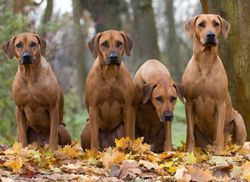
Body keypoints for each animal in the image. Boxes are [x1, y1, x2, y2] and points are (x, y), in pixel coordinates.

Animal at [182, 13, 246, 154]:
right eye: (201, 24)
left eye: (216, 24)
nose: (210, 35)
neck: (205, 61)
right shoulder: (189, 102)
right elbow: (190, 134)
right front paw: (190, 152)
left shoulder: (220, 102)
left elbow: (219, 132)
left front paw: (218, 153)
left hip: (238, 119)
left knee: (238, 144)